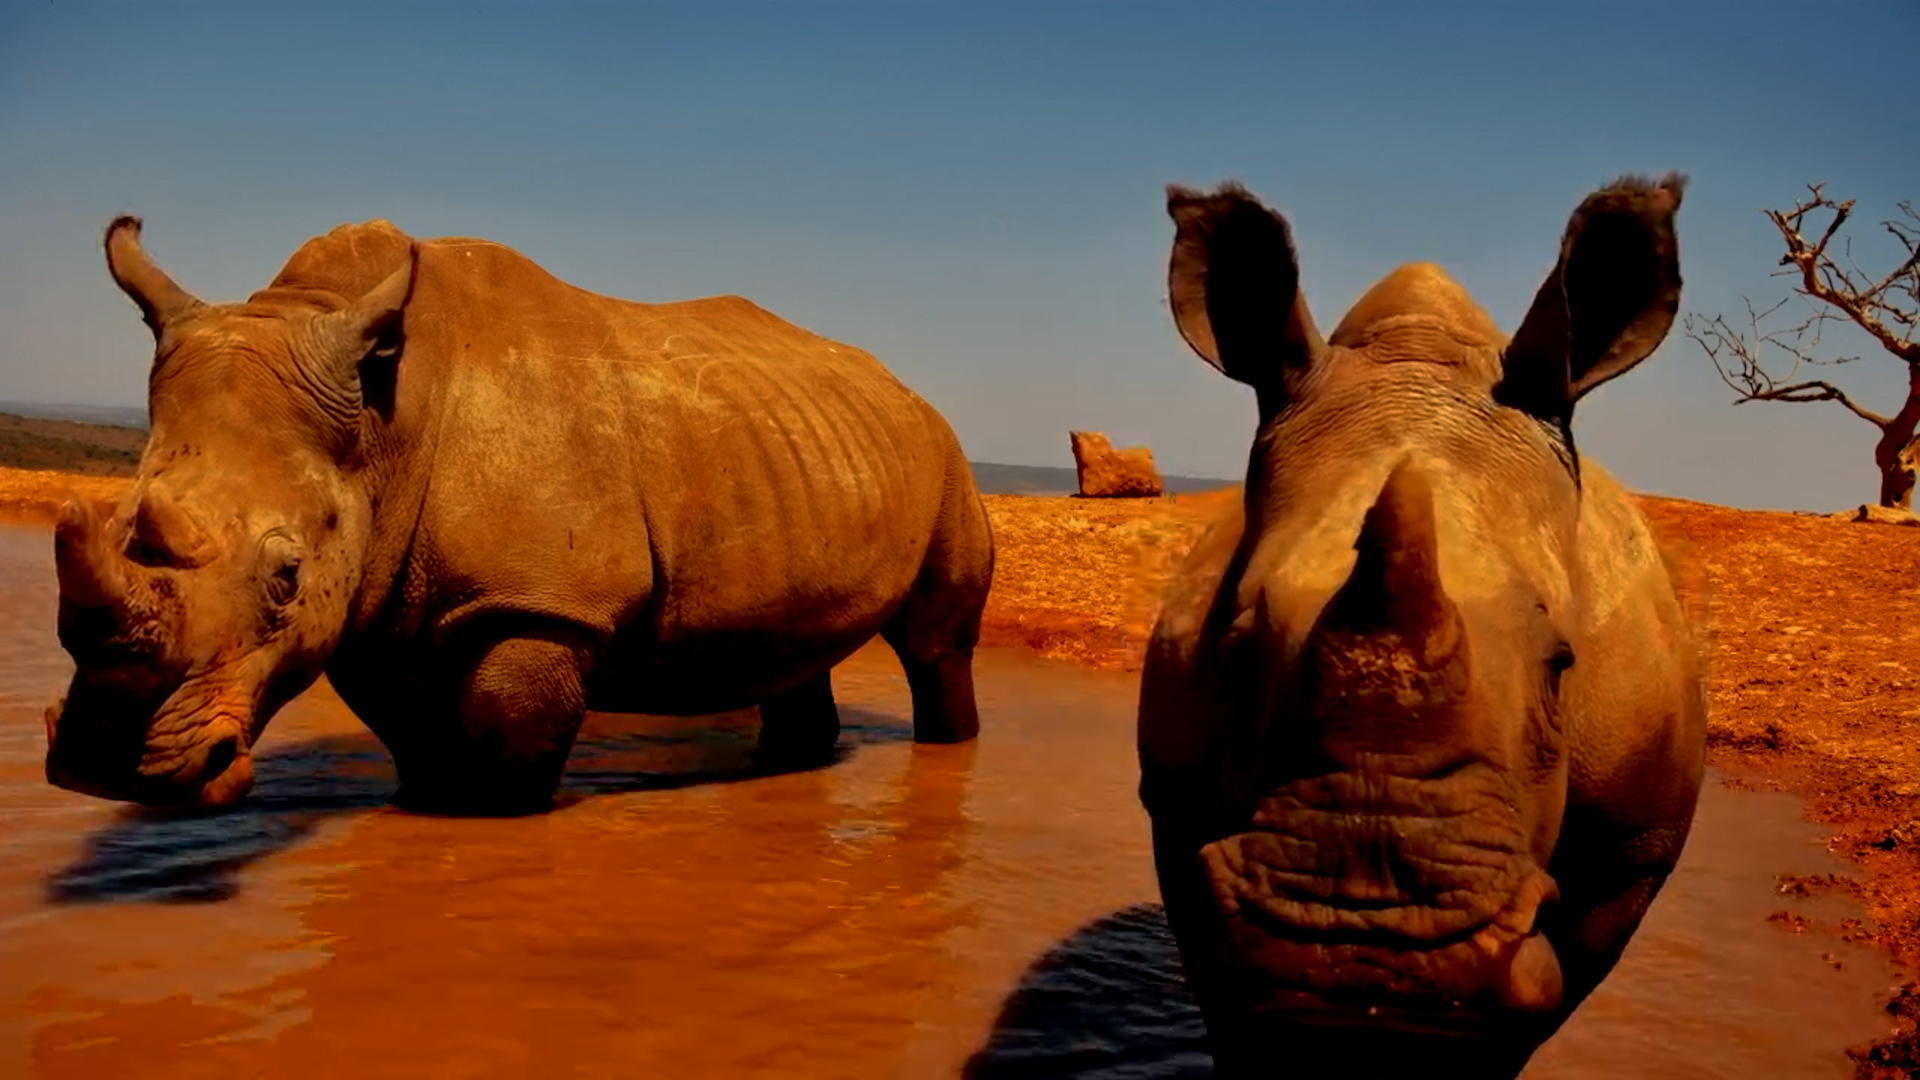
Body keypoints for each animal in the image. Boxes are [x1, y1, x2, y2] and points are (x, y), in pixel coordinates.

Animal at [44, 217, 993, 814]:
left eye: (285, 577)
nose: (103, 764)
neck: (383, 425)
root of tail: (903, 388)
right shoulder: (373, 599)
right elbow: (414, 736)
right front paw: (427, 804)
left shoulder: (542, 602)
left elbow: (505, 730)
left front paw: (494, 817)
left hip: (946, 456)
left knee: (934, 643)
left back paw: (949, 745)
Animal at [1138, 175, 1705, 1077]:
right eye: (1233, 648)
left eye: (1562, 664)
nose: (1370, 953)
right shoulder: (1177, 811)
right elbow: (1234, 1006)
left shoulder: (1634, 848)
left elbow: (1532, 1010)